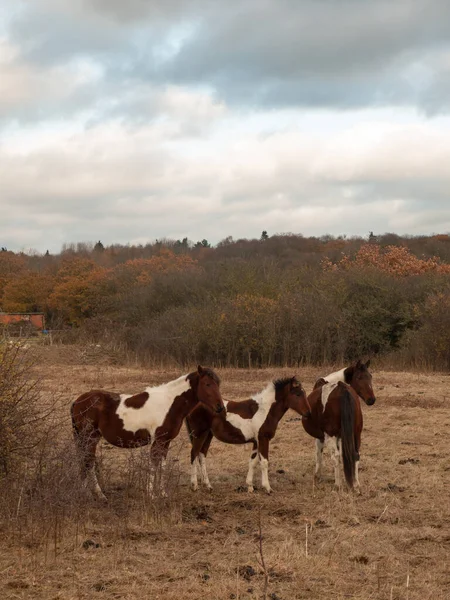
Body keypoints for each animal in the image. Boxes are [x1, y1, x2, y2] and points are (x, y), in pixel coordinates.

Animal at [71, 366, 224, 502]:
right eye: (207, 384)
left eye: (218, 384)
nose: (220, 407)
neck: (169, 403)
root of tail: (78, 401)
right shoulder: (157, 440)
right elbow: (153, 465)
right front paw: (151, 494)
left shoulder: (165, 441)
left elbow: (162, 466)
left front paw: (162, 494)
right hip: (90, 438)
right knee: (89, 462)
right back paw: (99, 495)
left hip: (85, 439)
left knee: (84, 461)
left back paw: (84, 493)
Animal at [302, 358, 376, 490]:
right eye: (359, 377)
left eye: (370, 376)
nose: (371, 399)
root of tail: (342, 389)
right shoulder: (342, 436)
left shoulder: (322, 437)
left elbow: (319, 453)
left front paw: (317, 475)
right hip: (356, 434)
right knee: (356, 454)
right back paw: (356, 483)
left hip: (331, 435)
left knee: (335, 457)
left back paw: (338, 484)